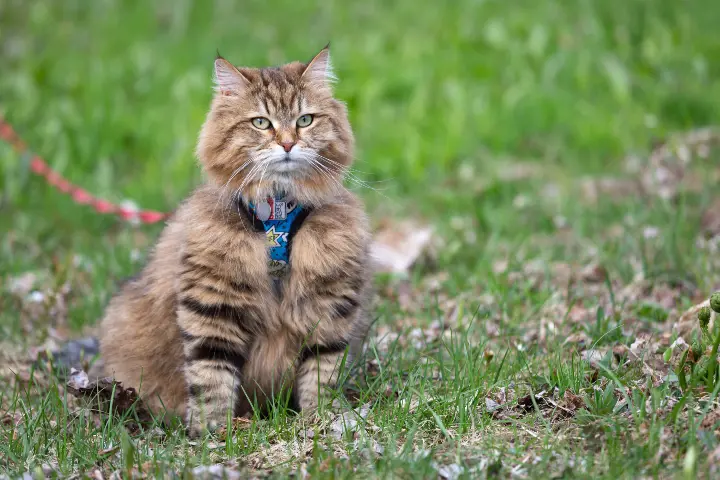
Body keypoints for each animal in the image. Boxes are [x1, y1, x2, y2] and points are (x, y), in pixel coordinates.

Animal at [97, 46, 372, 436]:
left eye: (305, 120)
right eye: (261, 123)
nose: (288, 143)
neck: (277, 211)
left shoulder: (328, 305)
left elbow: (322, 373)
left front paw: (321, 419)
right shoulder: (213, 303)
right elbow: (212, 376)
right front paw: (212, 432)